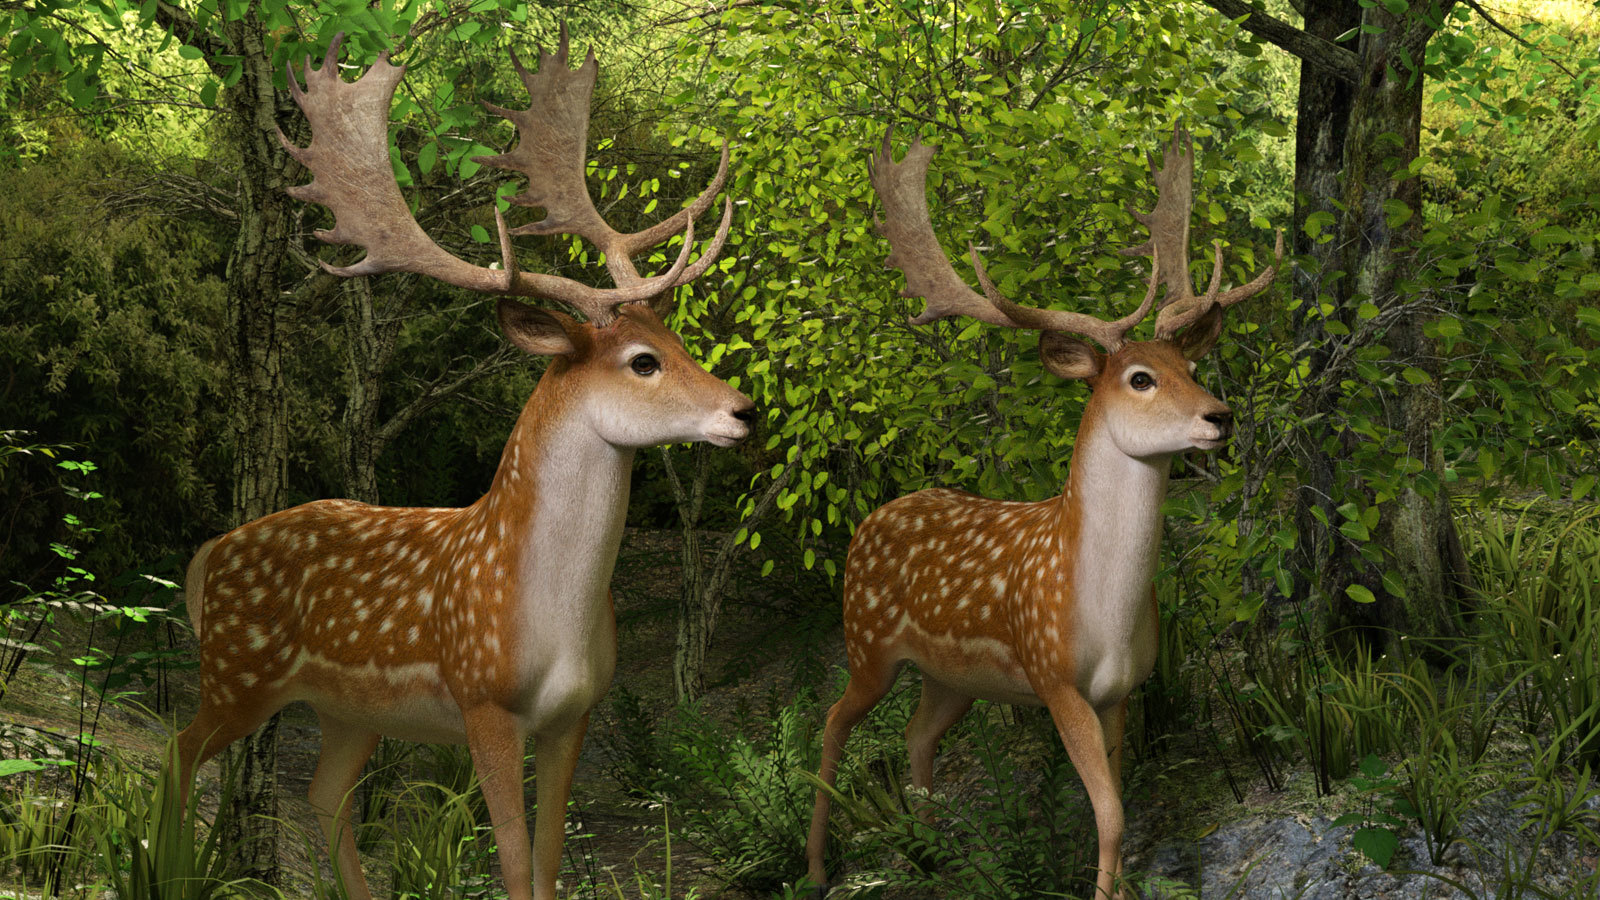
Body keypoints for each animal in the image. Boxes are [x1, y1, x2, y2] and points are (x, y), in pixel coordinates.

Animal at [176, 29, 754, 900]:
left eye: (680, 341)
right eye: (644, 362)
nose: (743, 410)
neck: (548, 616)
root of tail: (208, 555)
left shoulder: (576, 713)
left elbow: (548, 862)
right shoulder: (483, 702)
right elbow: (513, 862)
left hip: (348, 709)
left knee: (324, 793)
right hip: (238, 670)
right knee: (179, 756)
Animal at [804, 128, 1283, 900]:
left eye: (1189, 368)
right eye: (1139, 378)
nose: (1221, 416)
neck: (1103, 610)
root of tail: (873, 520)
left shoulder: (1122, 690)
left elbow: (1120, 800)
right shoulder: (1054, 678)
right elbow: (1111, 811)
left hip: (952, 676)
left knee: (916, 733)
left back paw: (935, 857)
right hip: (867, 641)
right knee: (832, 720)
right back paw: (819, 866)